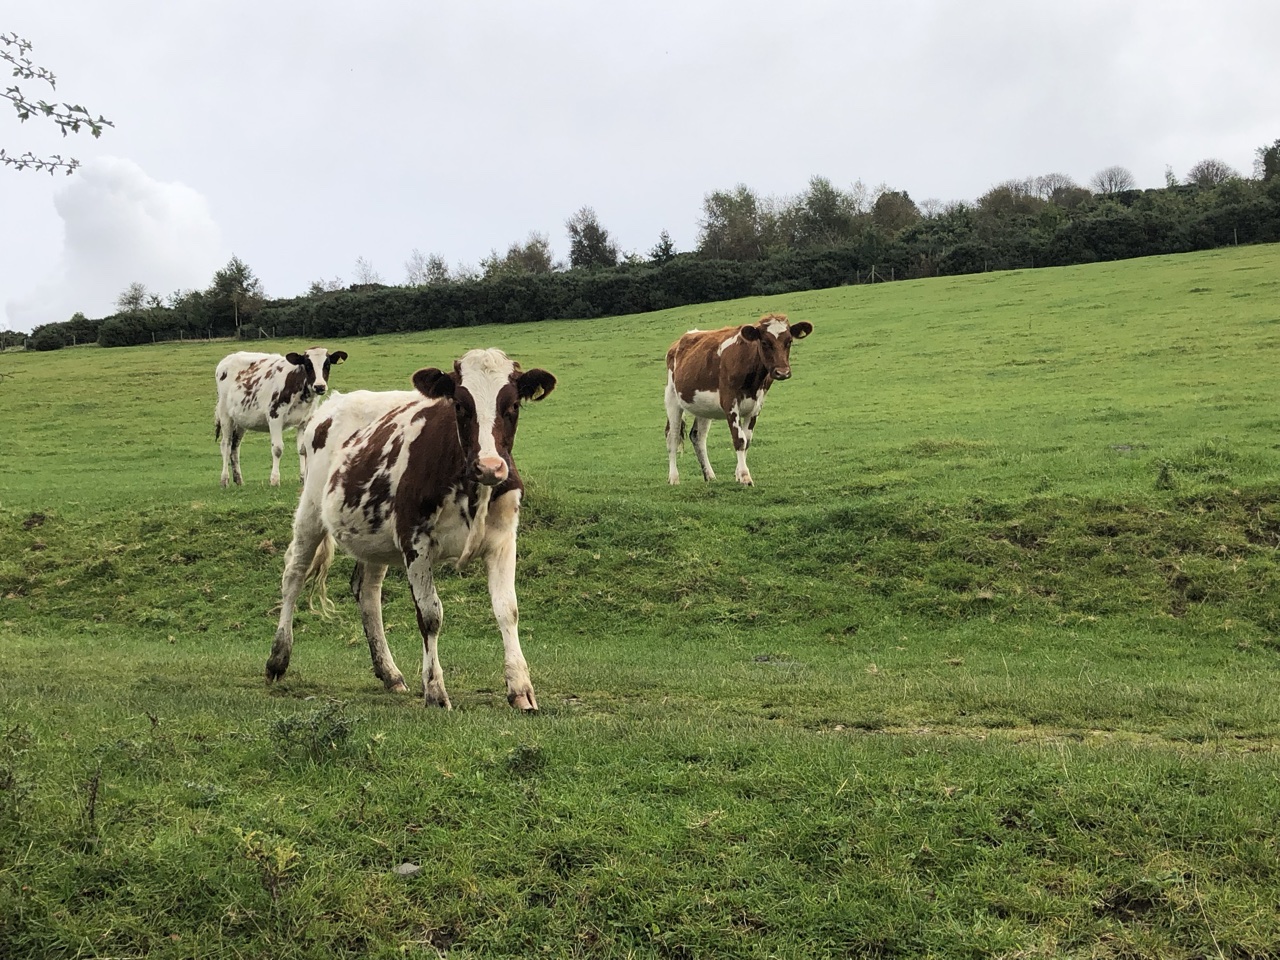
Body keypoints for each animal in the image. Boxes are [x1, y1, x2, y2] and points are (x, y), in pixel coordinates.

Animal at [215, 348, 348, 488]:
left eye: (327, 364)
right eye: (308, 365)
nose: (319, 386)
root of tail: (227, 359)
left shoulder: (305, 421)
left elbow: (303, 449)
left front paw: (303, 478)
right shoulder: (275, 417)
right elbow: (277, 449)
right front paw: (274, 480)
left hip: (241, 419)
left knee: (235, 446)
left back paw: (239, 479)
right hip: (225, 414)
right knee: (226, 444)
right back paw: (224, 479)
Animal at [263, 350, 555, 711]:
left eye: (513, 404)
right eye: (460, 404)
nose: (490, 466)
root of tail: (335, 402)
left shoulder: (503, 539)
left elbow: (507, 610)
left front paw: (520, 688)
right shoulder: (414, 539)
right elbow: (430, 615)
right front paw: (435, 691)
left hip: (372, 537)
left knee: (367, 592)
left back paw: (390, 672)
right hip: (312, 508)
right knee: (294, 575)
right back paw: (278, 659)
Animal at [665, 312, 814, 483]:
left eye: (789, 341)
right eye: (764, 342)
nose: (782, 372)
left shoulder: (757, 405)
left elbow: (747, 440)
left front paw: (738, 474)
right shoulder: (729, 402)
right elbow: (739, 439)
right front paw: (745, 476)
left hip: (702, 407)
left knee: (698, 436)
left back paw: (710, 476)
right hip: (672, 398)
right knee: (672, 436)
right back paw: (674, 478)